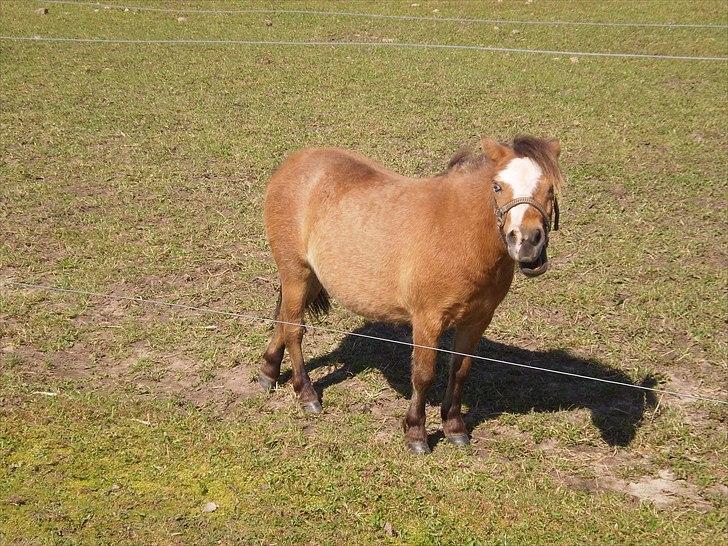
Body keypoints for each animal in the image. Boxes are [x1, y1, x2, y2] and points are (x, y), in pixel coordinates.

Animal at [260, 135, 564, 450]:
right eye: (497, 186)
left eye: (550, 188)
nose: (526, 242)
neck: (458, 232)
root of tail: (293, 163)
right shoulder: (427, 320)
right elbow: (423, 375)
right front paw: (416, 432)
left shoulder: (476, 320)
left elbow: (460, 370)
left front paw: (454, 427)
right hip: (296, 273)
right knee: (293, 329)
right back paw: (306, 394)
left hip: (309, 277)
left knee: (283, 319)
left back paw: (268, 373)